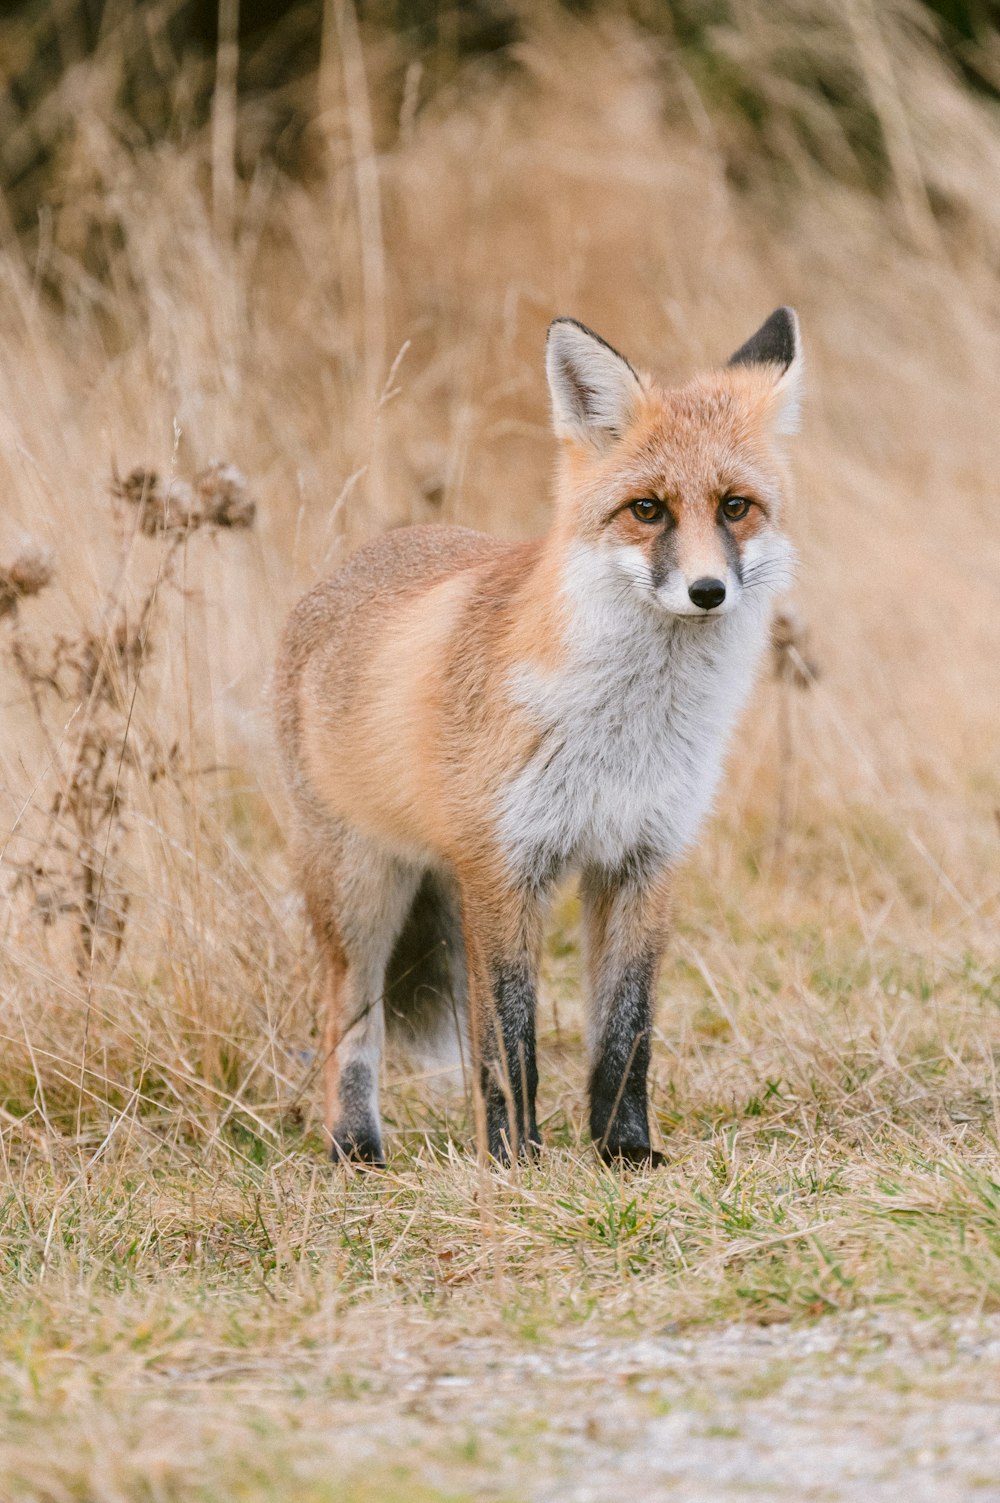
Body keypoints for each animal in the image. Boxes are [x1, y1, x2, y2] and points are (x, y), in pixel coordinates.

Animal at [275, 305, 806, 1166]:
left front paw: (625, 1152)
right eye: (647, 510)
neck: (626, 734)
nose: (707, 591)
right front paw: (515, 1160)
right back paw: (354, 1147)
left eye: (735, 506)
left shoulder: (644, 859)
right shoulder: (503, 867)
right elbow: (508, 1046)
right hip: (360, 890)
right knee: (347, 1025)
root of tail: (357, 560)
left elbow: (626, 1035)